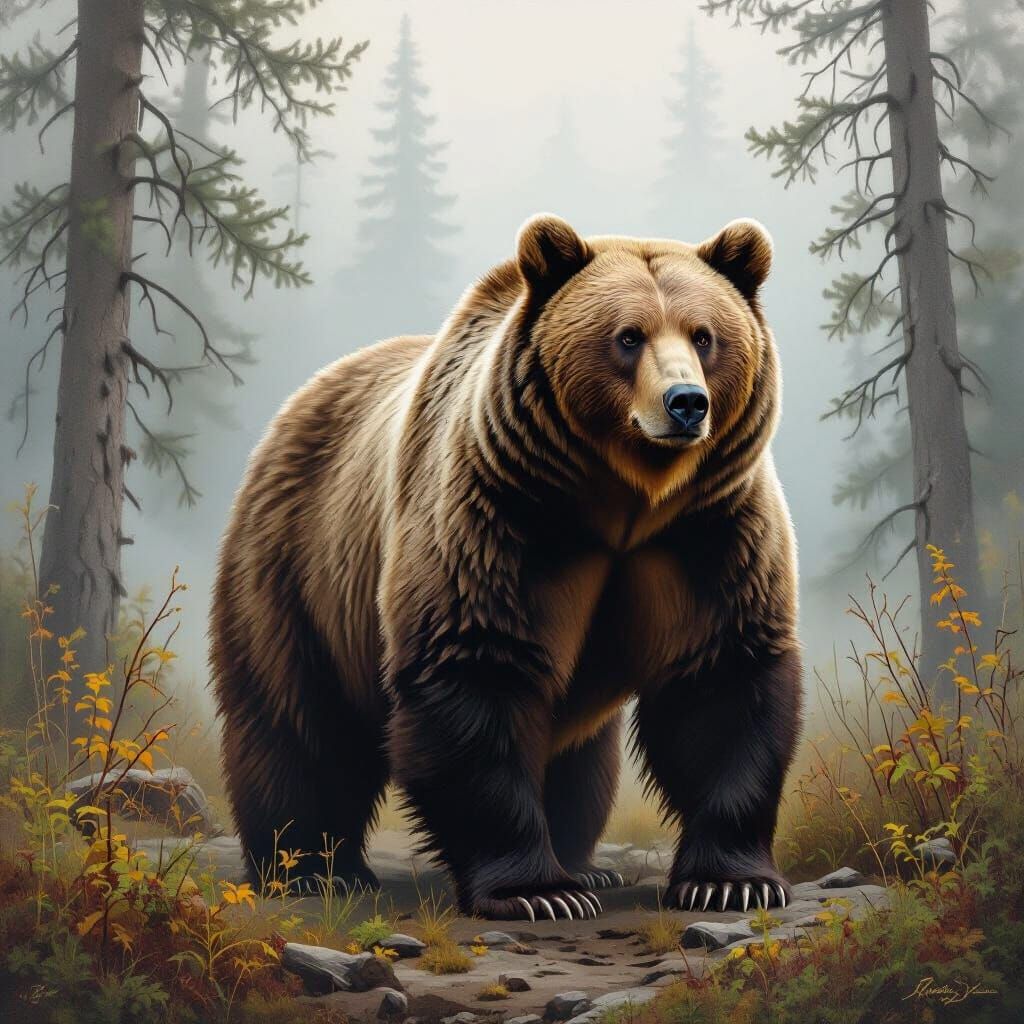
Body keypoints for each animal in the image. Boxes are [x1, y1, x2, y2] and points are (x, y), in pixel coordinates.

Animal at [210, 213, 803, 921]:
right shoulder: (501, 515)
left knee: (583, 757)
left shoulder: (708, 532)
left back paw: (585, 863)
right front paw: (536, 892)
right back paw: (309, 867)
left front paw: (730, 881)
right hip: (296, 565)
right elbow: (477, 668)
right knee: (297, 718)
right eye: (628, 335)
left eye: (705, 335)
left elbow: (722, 680)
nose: (686, 403)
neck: (626, 500)